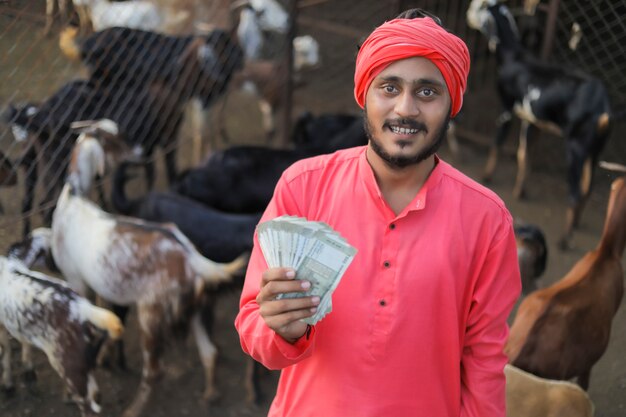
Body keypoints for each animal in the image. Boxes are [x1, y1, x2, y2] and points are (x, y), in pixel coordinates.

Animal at [0, 254, 123, 416]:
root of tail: (84, 308)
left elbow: (5, 350)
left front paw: (8, 385)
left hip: (69, 366)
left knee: (88, 404)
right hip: (84, 363)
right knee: (96, 395)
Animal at [50, 125, 249, 416]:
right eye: (115, 141)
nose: (138, 150)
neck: (72, 198)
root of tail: (193, 259)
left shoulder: (76, 280)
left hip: (151, 314)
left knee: (155, 371)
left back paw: (133, 410)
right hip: (194, 308)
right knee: (209, 351)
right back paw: (210, 395)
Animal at [468, 0, 608, 249]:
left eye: (479, 7)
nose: (467, 14)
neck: (513, 56)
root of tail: (602, 106)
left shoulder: (507, 106)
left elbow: (498, 141)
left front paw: (487, 176)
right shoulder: (530, 119)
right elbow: (524, 154)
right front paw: (520, 191)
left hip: (576, 147)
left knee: (575, 193)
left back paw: (564, 240)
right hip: (595, 150)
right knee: (587, 188)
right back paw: (576, 223)